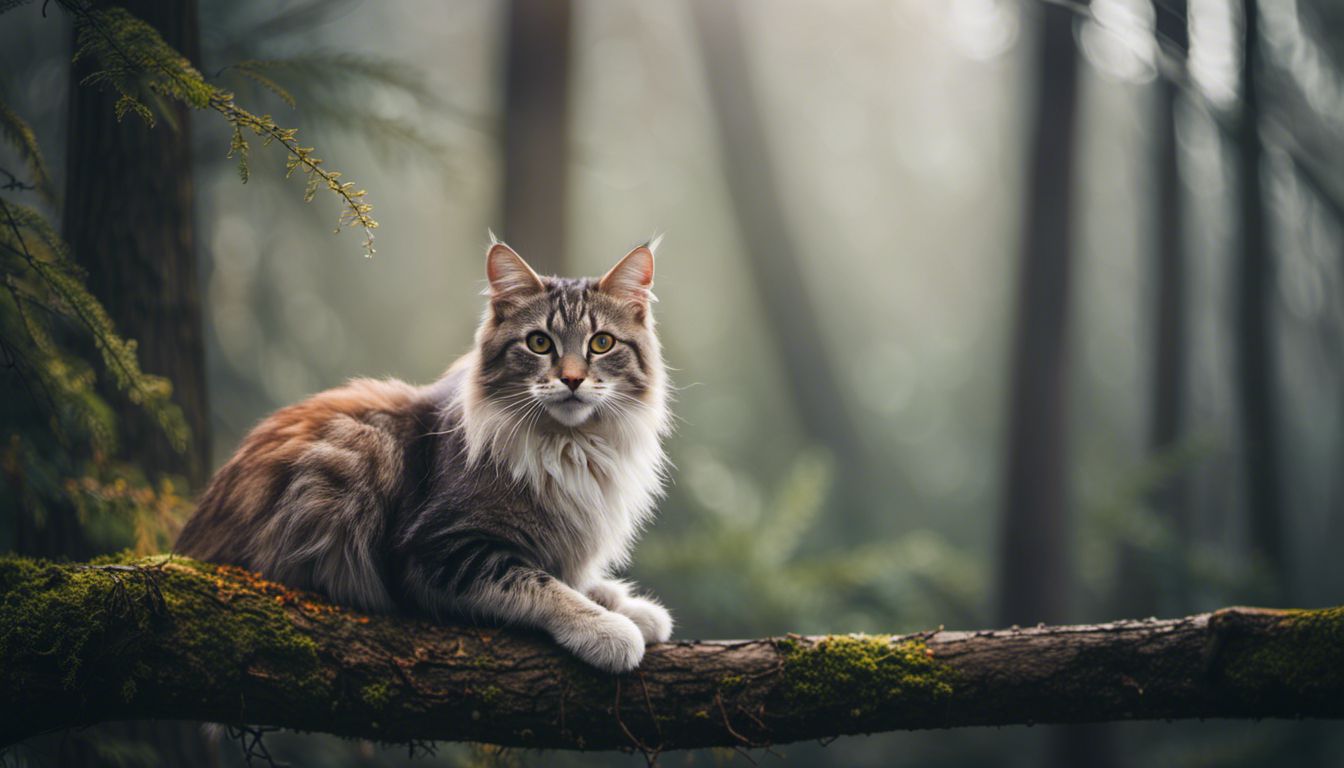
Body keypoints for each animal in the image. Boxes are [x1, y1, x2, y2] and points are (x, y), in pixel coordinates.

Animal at [177, 239, 677, 672]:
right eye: (539, 343)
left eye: (601, 344)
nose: (572, 380)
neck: (569, 447)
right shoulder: (439, 551)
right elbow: (544, 585)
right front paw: (610, 630)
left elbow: (580, 580)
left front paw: (634, 609)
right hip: (359, 447)